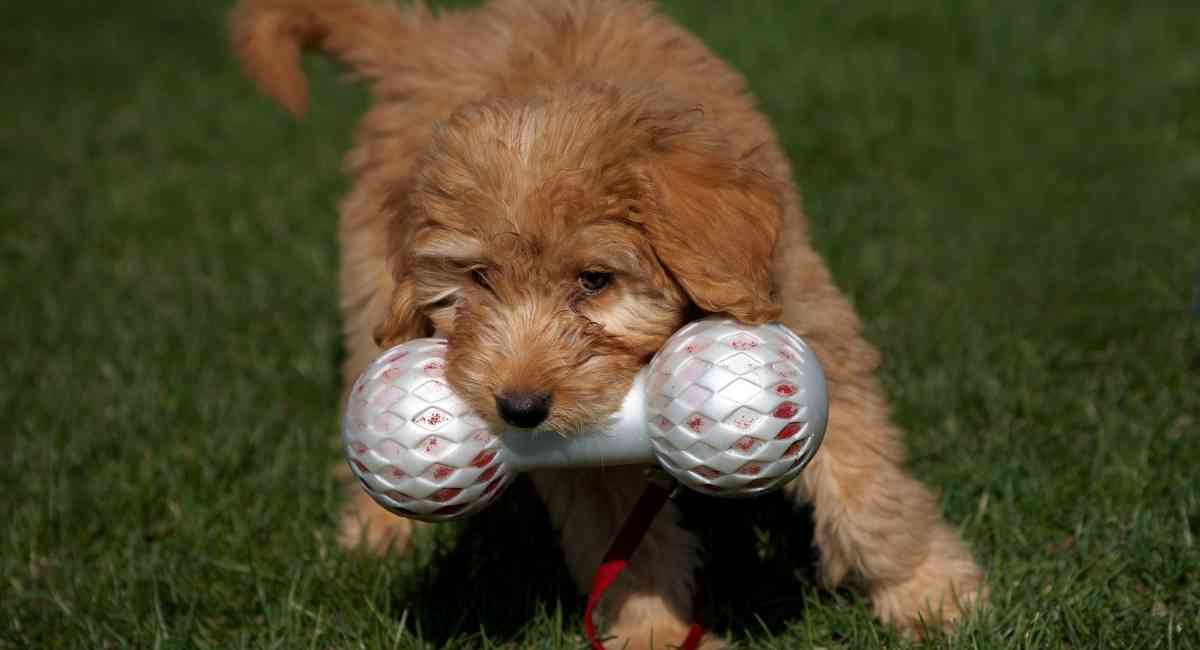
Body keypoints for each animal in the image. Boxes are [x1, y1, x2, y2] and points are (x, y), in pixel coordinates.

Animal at [231, 0, 984, 647]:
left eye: (593, 281)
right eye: (478, 280)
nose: (519, 408)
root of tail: (432, 40)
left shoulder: (806, 321)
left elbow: (867, 486)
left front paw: (929, 594)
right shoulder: (576, 449)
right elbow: (624, 538)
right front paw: (655, 633)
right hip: (370, 290)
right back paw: (375, 537)